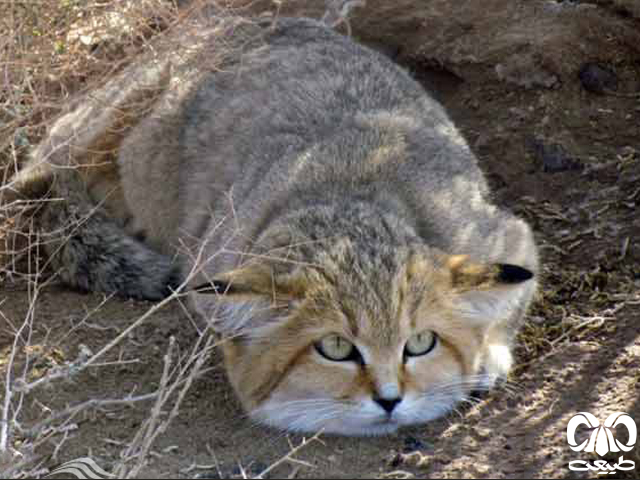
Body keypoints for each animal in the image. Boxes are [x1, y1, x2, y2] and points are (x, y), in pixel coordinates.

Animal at [11, 15, 540, 436]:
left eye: (420, 343)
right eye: (335, 348)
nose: (390, 398)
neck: (347, 203)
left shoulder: (506, 234)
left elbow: (510, 299)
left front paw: (487, 352)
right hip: (101, 127)